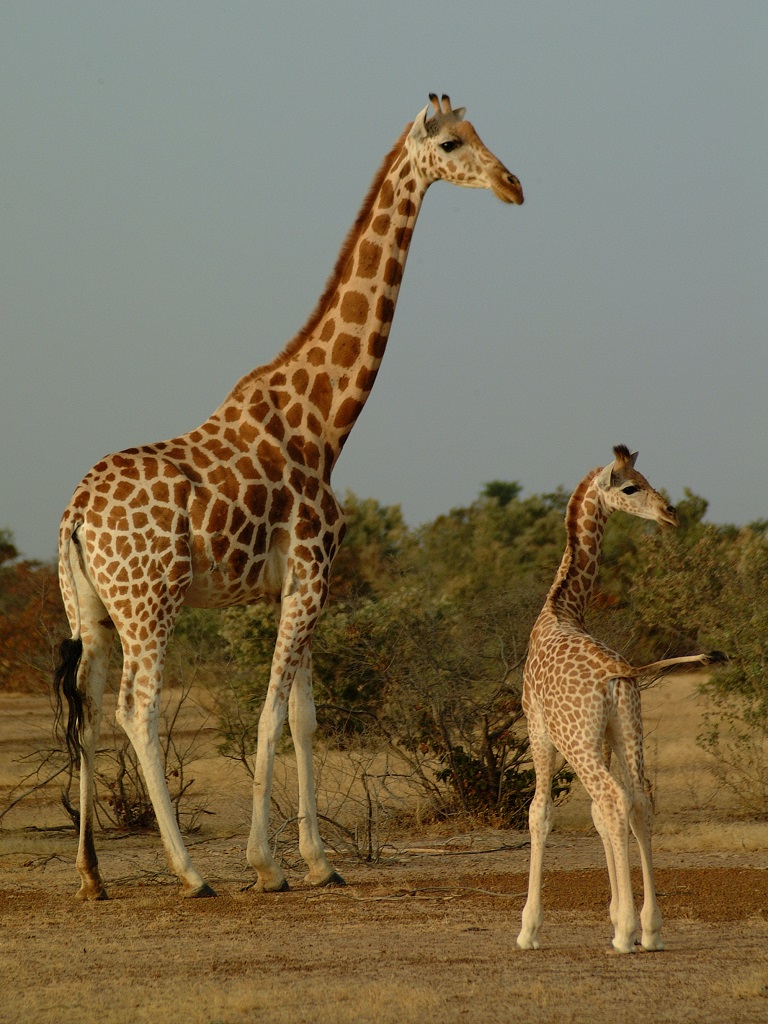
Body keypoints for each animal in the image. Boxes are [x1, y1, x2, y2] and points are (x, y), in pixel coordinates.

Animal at [53, 94, 524, 900]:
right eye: (453, 144)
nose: (512, 185)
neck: (325, 421)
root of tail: (77, 516)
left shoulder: (299, 583)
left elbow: (304, 717)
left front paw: (319, 860)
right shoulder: (310, 571)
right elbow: (272, 715)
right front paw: (265, 864)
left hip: (90, 610)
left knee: (87, 709)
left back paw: (91, 875)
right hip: (152, 602)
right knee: (137, 708)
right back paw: (190, 872)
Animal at [516, 446, 726, 953]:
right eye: (632, 486)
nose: (670, 513)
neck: (561, 607)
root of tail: (621, 673)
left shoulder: (538, 728)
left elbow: (540, 813)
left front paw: (529, 929)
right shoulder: (607, 736)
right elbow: (598, 814)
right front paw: (614, 913)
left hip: (577, 741)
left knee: (613, 799)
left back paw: (628, 932)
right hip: (629, 730)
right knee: (638, 801)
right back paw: (649, 929)